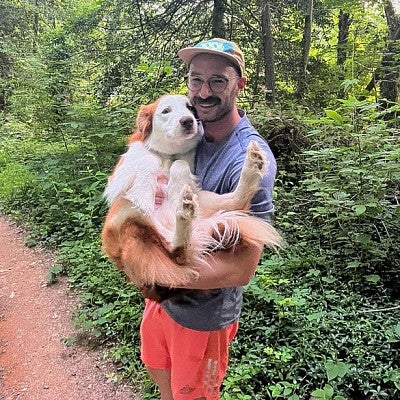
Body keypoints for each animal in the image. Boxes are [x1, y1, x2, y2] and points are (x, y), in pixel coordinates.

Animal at [101, 94, 282, 296]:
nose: (187, 120)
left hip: (202, 197)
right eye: (166, 111)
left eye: (189, 107)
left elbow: (180, 164)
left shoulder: (185, 165)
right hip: (125, 219)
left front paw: (176, 187)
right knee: (176, 251)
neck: (168, 155)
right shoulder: (117, 180)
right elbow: (148, 159)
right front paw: (145, 194)